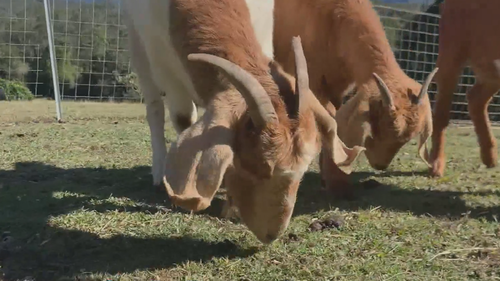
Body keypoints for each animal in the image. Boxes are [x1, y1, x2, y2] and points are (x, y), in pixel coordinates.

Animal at [121, 0, 364, 243]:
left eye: (303, 171)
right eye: (254, 166)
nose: (271, 234)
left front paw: (230, 207)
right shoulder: (165, 65)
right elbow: (183, 117)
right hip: (139, 46)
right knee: (154, 106)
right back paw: (158, 173)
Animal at [274, 0, 438, 197]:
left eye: (408, 139)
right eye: (378, 125)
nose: (380, 165)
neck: (333, 20)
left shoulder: (340, 87)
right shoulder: (311, 79)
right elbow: (328, 117)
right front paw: (337, 183)